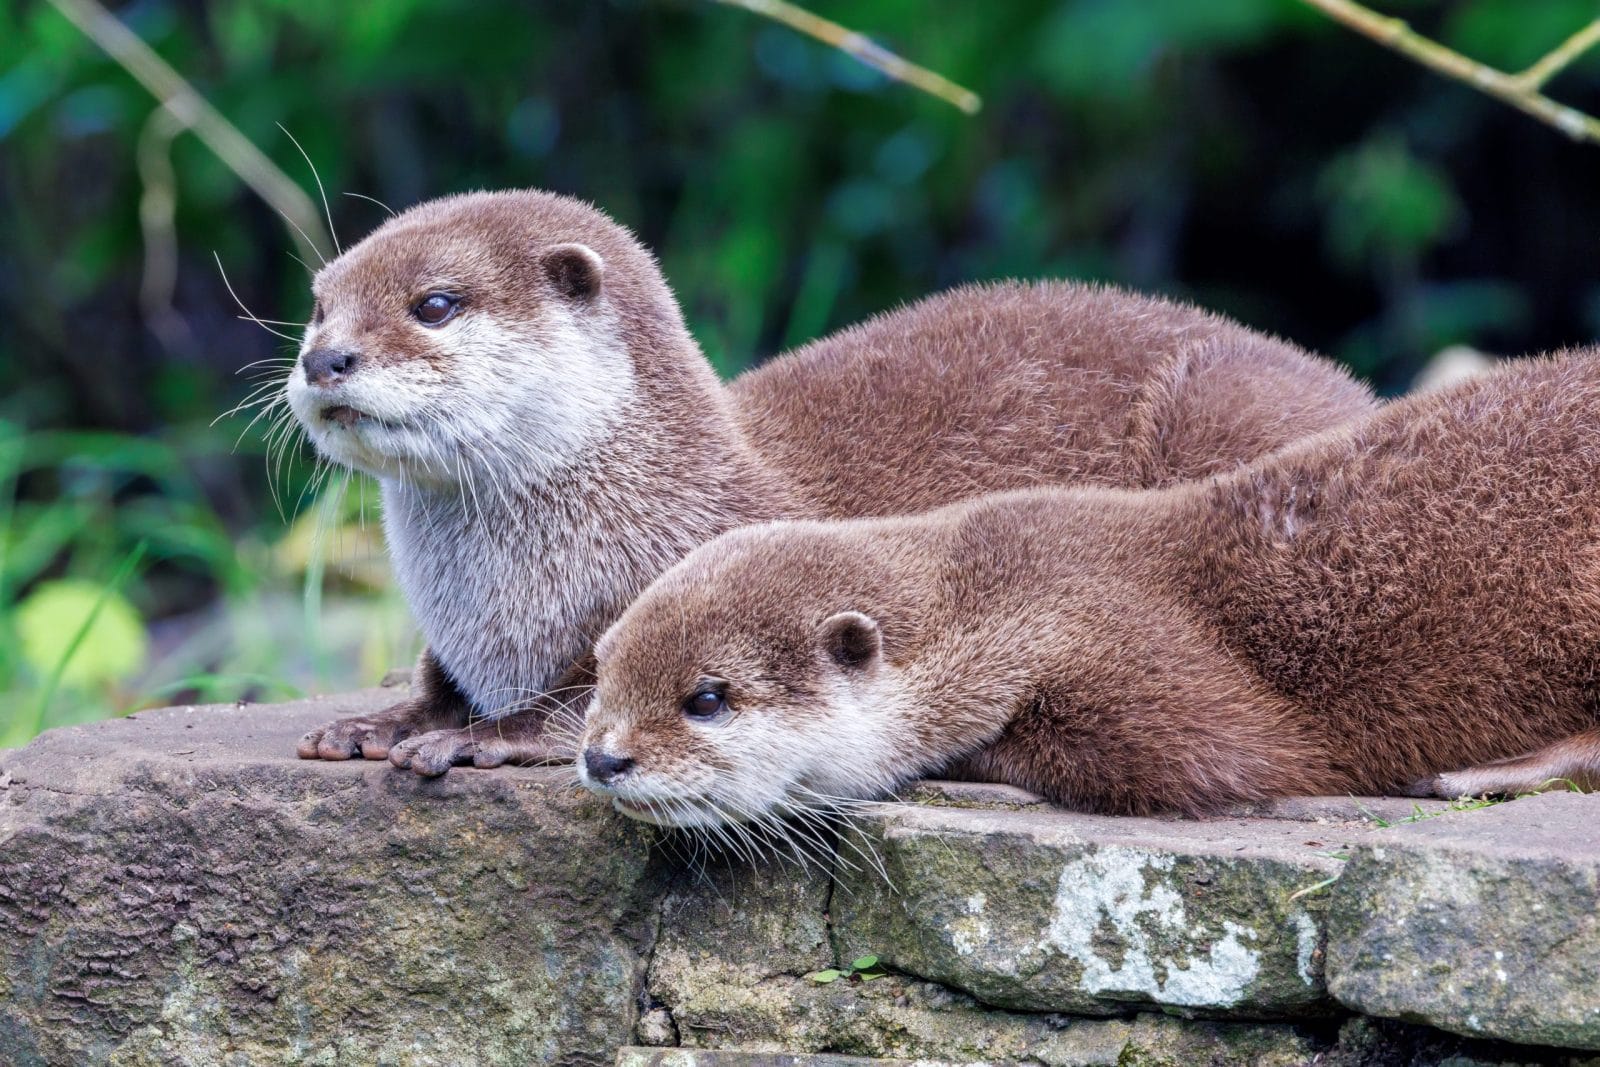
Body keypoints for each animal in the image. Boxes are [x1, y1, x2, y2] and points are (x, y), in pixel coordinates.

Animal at [287, 189, 1374, 777]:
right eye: (320, 302)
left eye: (434, 303)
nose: (323, 359)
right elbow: (431, 683)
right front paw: (381, 721)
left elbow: (585, 699)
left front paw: (482, 738)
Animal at [578, 348, 1600, 825]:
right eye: (601, 671)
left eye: (708, 698)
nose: (601, 758)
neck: (1013, 593)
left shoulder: (1142, 655)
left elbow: (1217, 759)